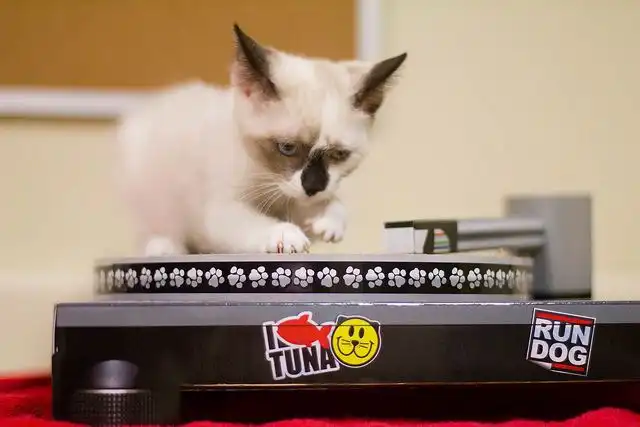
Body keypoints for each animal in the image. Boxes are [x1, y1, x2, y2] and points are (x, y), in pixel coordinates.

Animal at [115, 24, 407, 256]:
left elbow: (333, 203)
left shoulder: (295, 196)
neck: (268, 180)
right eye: (287, 148)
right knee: (154, 229)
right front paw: (285, 235)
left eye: (339, 155)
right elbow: (258, 224)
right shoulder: (222, 209)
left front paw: (328, 222)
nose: (312, 187)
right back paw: (163, 247)